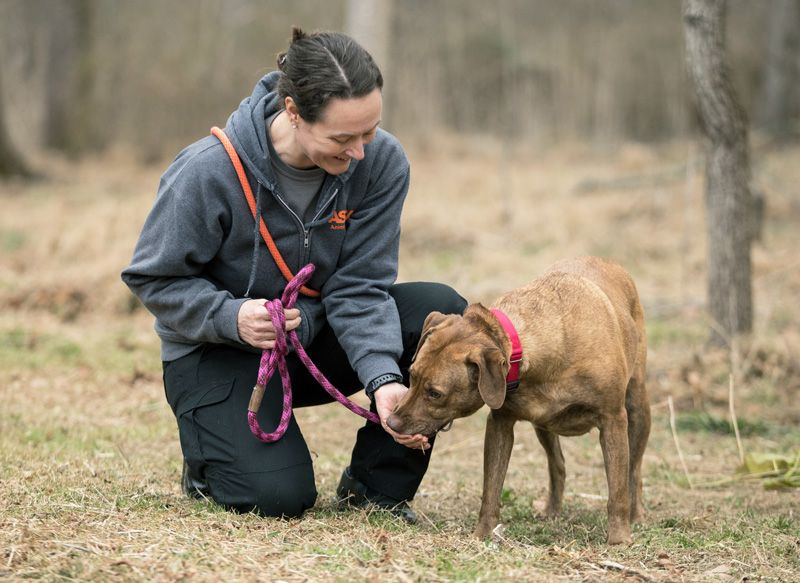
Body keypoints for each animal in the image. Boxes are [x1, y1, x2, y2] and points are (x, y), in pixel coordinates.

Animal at [388, 258, 648, 544]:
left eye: (435, 393)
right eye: (412, 375)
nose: (391, 422)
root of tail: (606, 261)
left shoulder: (612, 420)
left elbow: (617, 488)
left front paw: (619, 539)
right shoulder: (500, 423)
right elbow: (491, 488)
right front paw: (483, 534)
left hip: (637, 409)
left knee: (633, 470)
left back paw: (636, 515)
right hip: (543, 427)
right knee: (557, 465)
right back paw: (552, 511)